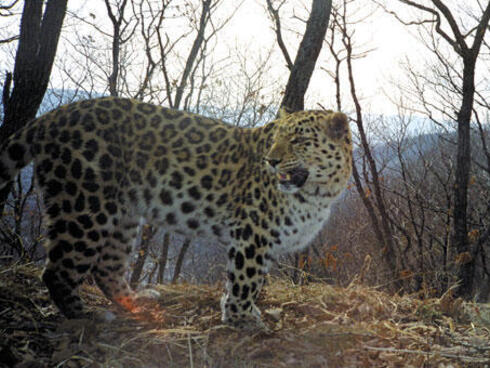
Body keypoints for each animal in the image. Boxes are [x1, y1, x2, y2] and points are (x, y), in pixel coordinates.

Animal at [0, 97, 352, 328]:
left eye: (299, 139)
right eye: (276, 138)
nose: (271, 160)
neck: (319, 192)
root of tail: (54, 116)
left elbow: (245, 280)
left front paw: (235, 311)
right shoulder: (253, 232)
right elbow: (245, 278)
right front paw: (240, 318)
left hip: (123, 215)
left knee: (107, 267)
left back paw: (136, 300)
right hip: (85, 205)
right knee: (57, 269)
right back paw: (86, 316)